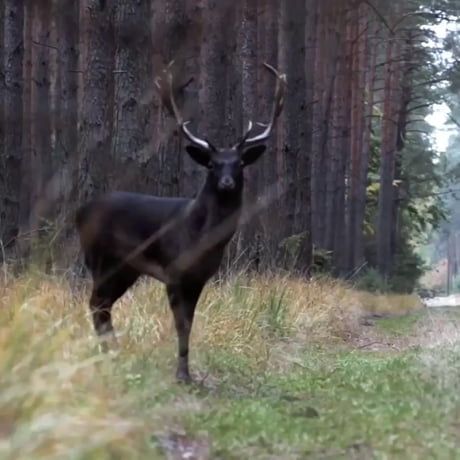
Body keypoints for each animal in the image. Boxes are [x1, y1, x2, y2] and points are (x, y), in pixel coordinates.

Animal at [75, 61, 286, 384]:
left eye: (238, 164)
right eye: (212, 164)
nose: (226, 183)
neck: (198, 235)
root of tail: (78, 213)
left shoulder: (199, 278)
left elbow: (190, 323)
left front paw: (188, 373)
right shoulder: (174, 272)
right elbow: (181, 324)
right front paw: (182, 375)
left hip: (127, 268)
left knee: (103, 306)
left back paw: (114, 355)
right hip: (100, 258)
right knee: (97, 303)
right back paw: (108, 356)